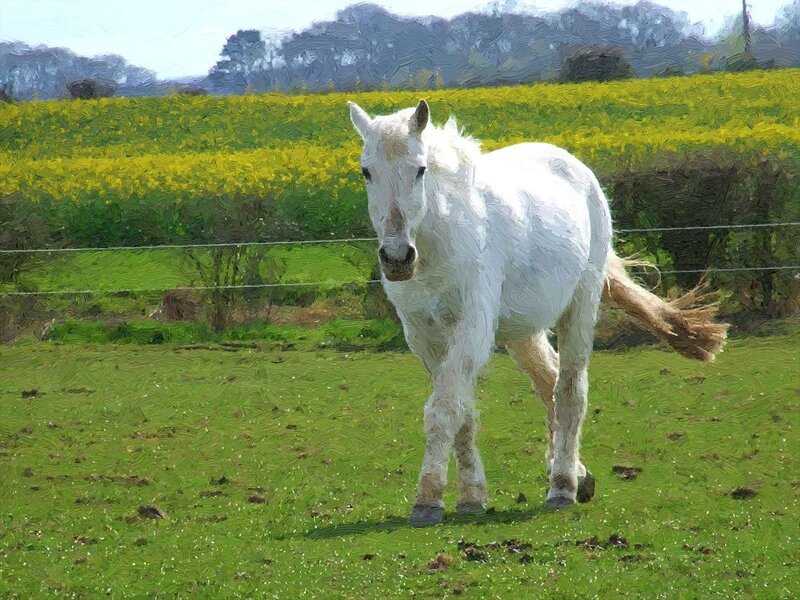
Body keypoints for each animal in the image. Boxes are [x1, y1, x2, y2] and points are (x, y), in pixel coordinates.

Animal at [348, 99, 728, 526]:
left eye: (420, 168)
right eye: (366, 171)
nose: (397, 258)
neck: (439, 241)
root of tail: (577, 168)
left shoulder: (472, 328)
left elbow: (445, 410)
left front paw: (427, 500)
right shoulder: (424, 336)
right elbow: (462, 412)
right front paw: (471, 497)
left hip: (579, 308)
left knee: (569, 392)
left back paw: (561, 487)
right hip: (521, 331)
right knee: (549, 383)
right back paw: (578, 476)